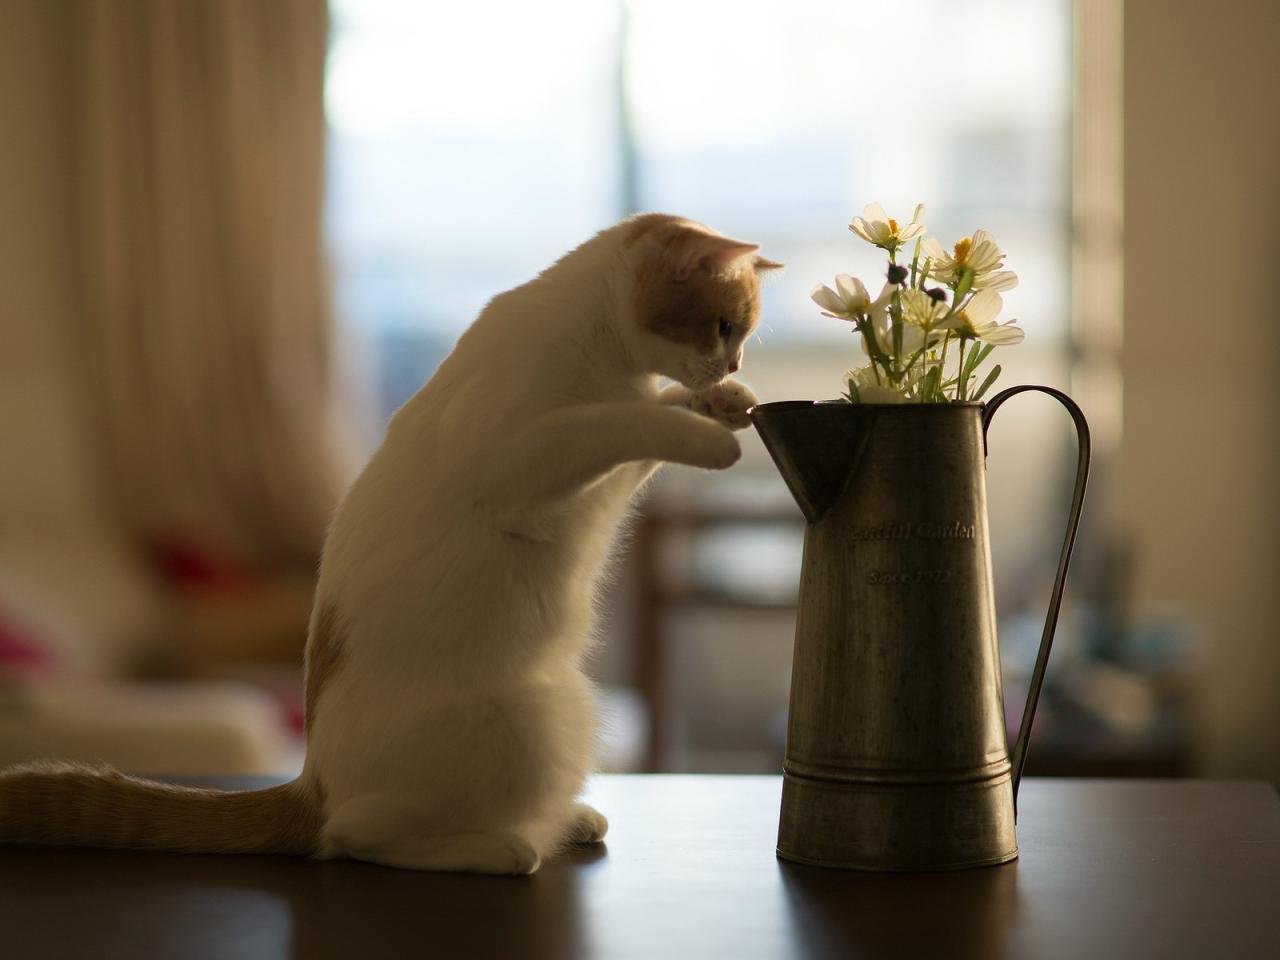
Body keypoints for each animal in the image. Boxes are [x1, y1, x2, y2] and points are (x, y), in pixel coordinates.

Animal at [0, 213, 778, 875]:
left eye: (741, 335)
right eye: (722, 326)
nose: (735, 365)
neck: (603, 349)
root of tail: (308, 781)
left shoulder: (603, 479)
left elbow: (650, 417)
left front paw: (724, 406)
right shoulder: (526, 459)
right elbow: (623, 422)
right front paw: (710, 435)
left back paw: (568, 822)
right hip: (531, 722)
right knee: (354, 836)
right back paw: (506, 849)